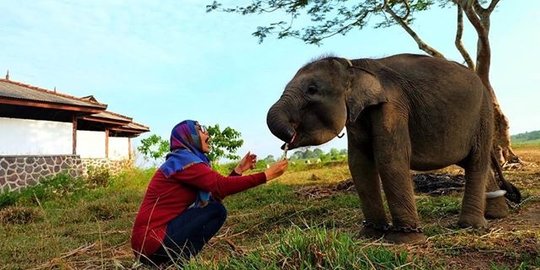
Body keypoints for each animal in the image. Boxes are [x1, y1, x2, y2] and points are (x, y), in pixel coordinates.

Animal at [268, 52, 520, 243]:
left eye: (312, 90)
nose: (287, 143)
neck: (353, 65)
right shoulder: (358, 118)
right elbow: (359, 164)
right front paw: (370, 234)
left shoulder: (392, 107)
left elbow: (389, 158)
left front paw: (404, 240)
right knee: (474, 163)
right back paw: (496, 216)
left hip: (483, 115)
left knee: (477, 161)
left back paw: (471, 226)